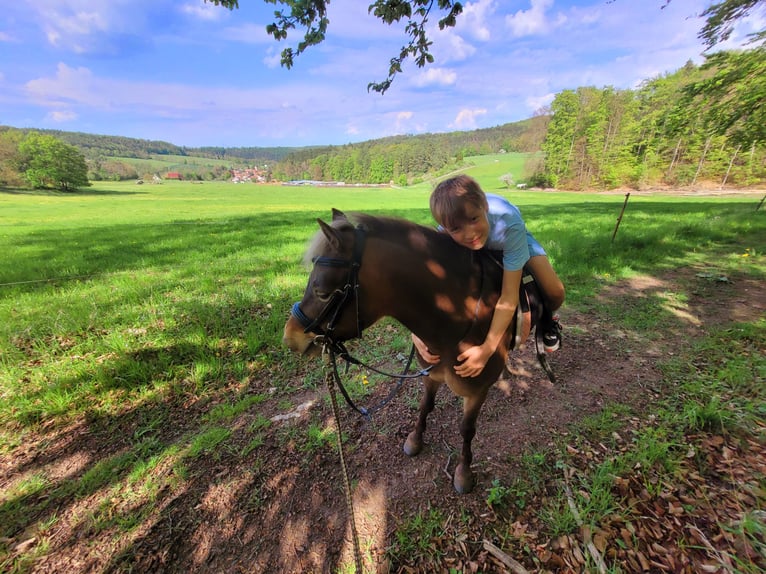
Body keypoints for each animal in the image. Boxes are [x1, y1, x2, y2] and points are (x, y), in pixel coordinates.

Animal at [282, 209, 555, 493]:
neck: (455, 315)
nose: (290, 337)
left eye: (322, 292)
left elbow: (467, 429)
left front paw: (464, 472)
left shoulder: (476, 392)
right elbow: (426, 406)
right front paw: (415, 439)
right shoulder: (431, 375)